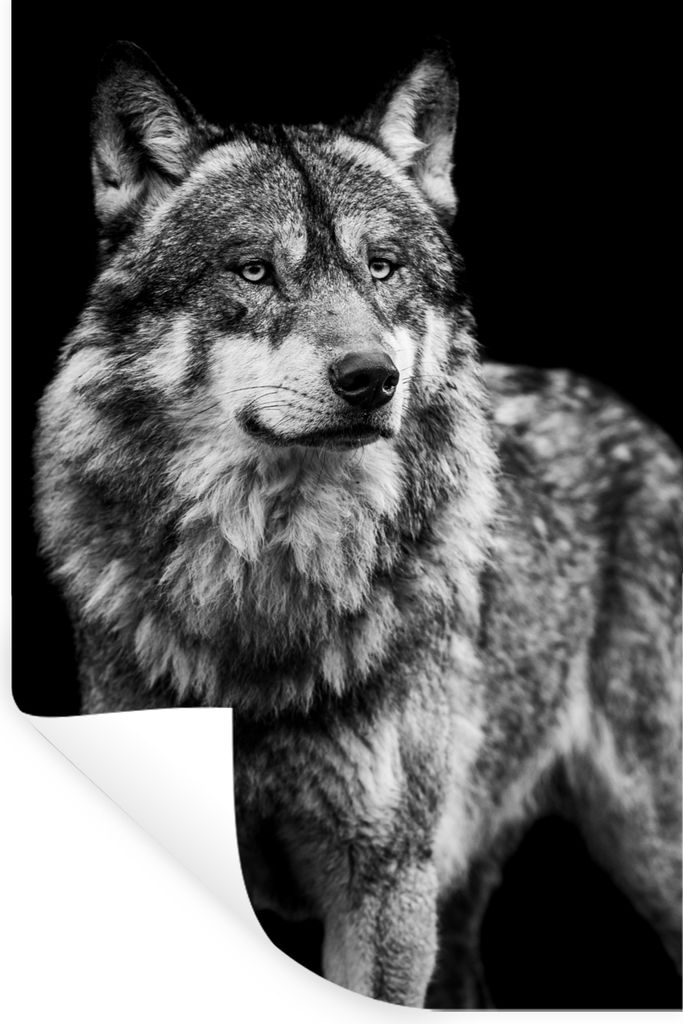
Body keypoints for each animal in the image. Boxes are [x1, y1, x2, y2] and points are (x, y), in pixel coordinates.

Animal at [34, 41, 682, 1008]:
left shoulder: (381, 885)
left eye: (381, 267)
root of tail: (638, 426)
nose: (371, 378)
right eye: (253, 270)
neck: (266, 598)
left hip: (638, 843)